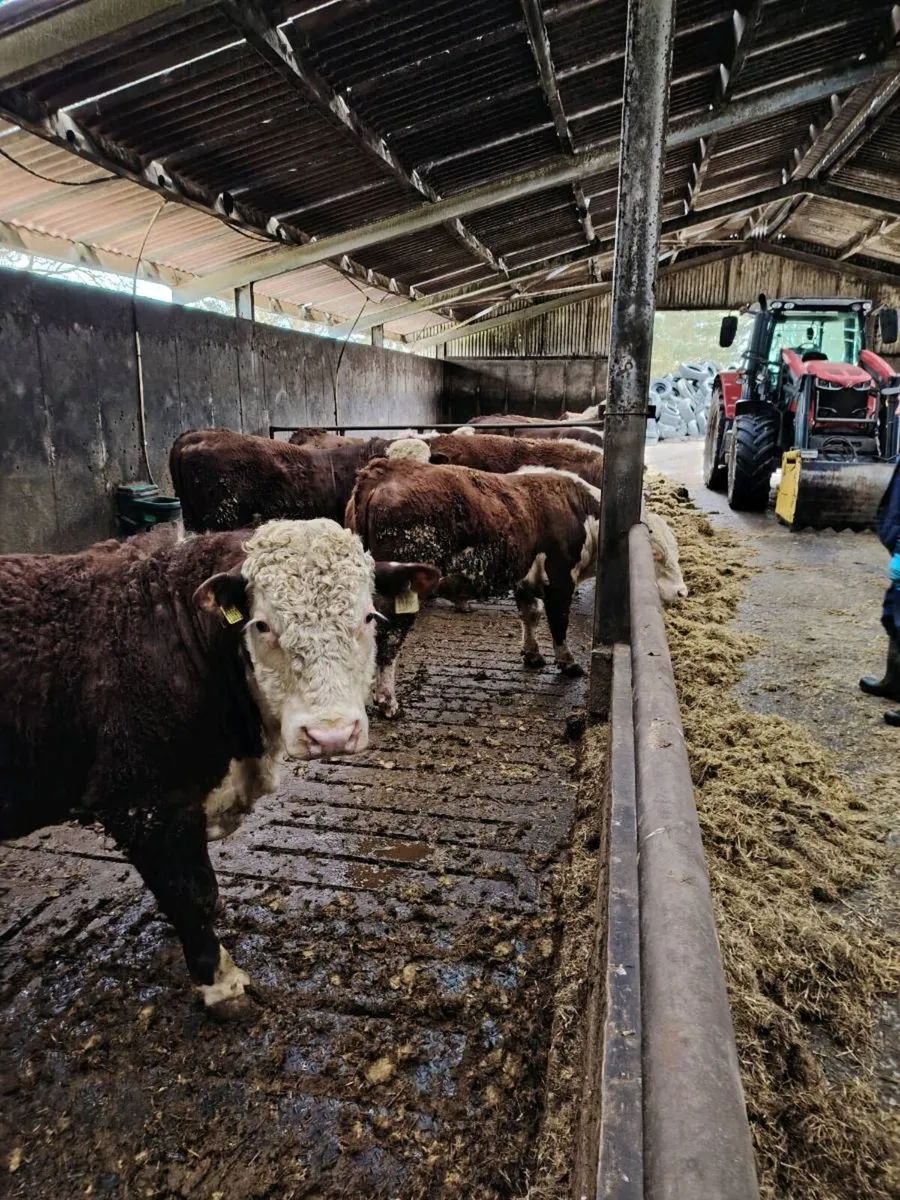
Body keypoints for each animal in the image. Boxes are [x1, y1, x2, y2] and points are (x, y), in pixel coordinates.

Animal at [0, 518, 432, 1017]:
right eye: (261, 624)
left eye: (368, 617)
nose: (331, 735)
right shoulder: (141, 804)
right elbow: (192, 896)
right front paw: (220, 982)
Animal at [346, 459, 687, 716]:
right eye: (656, 555)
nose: (682, 591)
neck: (581, 510)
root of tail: (383, 469)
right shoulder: (559, 580)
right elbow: (558, 622)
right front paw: (567, 662)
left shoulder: (525, 579)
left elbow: (530, 615)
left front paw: (532, 653)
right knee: (389, 641)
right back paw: (387, 702)